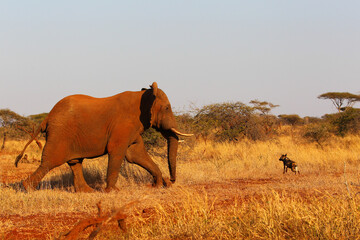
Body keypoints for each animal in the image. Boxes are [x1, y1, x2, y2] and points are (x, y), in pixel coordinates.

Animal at [15, 81, 193, 192]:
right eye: (167, 108)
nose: (170, 181)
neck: (143, 95)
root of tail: (47, 117)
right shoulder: (123, 125)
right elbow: (118, 151)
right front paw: (113, 191)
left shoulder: (132, 128)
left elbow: (136, 154)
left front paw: (156, 185)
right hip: (60, 133)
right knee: (51, 161)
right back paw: (26, 188)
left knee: (75, 162)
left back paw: (87, 192)